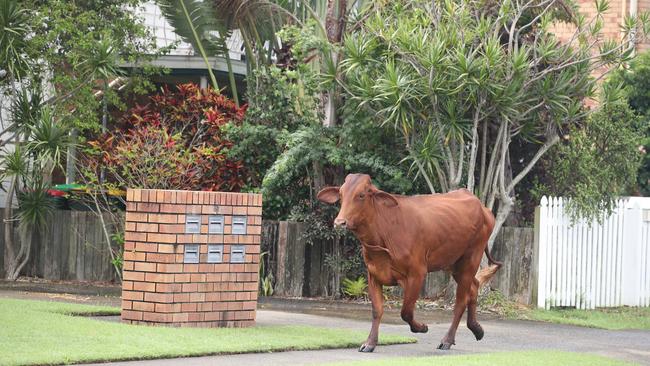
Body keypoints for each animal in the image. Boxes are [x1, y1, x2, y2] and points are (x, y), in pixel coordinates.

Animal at [316, 174, 498, 352]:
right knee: (474, 287)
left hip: (471, 259)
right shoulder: (373, 274)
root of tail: (481, 206)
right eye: (341, 194)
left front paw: (422, 327)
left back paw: (447, 340)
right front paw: (370, 343)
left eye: (361, 195)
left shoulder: (417, 274)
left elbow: (406, 311)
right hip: (454, 264)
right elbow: (377, 310)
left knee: (460, 302)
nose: (340, 222)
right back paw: (477, 329)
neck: (384, 233)